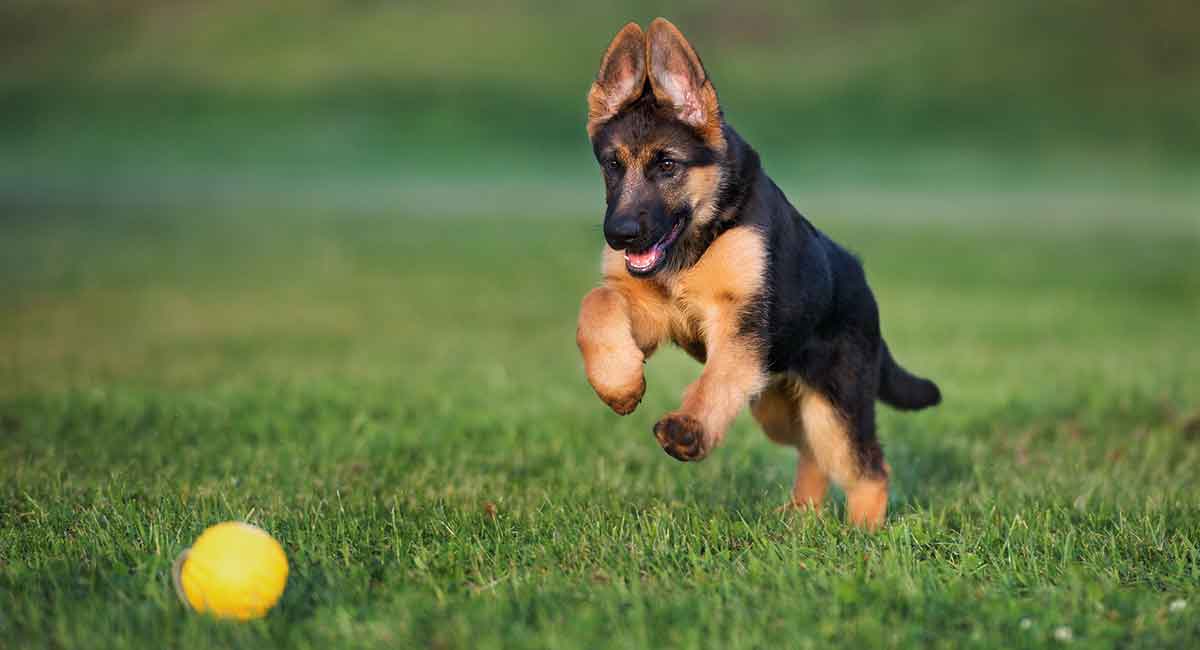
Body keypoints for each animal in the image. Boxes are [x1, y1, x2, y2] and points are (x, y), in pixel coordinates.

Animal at [576, 20, 940, 532]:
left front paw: (690, 429)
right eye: (612, 164)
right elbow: (597, 304)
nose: (619, 235)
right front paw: (619, 384)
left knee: (866, 465)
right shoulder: (653, 312)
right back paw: (801, 517)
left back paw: (862, 532)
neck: (698, 239)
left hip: (836, 400)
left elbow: (717, 378)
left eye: (667, 164)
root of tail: (863, 285)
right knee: (811, 451)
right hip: (776, 405)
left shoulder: (742, 326)